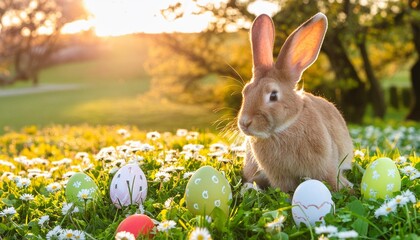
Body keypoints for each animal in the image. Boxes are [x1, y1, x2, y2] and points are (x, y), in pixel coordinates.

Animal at [238, 13, 352, 193]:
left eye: (273, 95)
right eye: (245, 92)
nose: (244, 123)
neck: (283, 130)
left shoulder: (327, 166)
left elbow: (332, 181)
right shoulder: (280, 178)